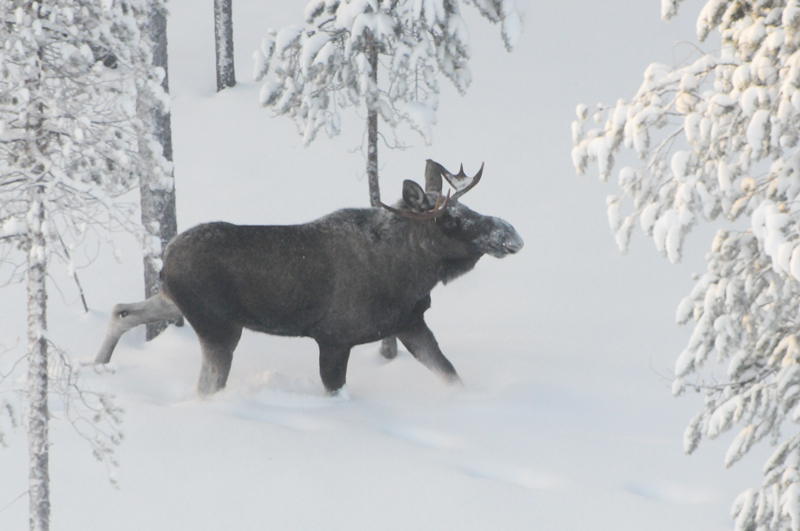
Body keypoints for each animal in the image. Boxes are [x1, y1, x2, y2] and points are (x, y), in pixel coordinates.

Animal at [94, 160, 520, 396]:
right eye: (449, 219)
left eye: (468, 207)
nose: (510, 232)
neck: (411, 274)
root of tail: (165, 259)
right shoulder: (334, 337)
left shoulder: (410, 324)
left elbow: (450, 375)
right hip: (219, 326)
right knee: (206, 386)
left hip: (175, 303)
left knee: (121, 311)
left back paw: (98, 367)